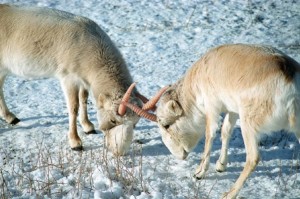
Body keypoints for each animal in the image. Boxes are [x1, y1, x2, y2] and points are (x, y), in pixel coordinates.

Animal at [0, 4, 149, 154]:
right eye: (113, 120)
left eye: (135, 124)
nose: (119, 152)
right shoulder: (68, 78)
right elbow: (74, 108)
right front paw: (75, 143)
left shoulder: (83, 80)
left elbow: (83, 99)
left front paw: (88, 126)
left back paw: (10, 117)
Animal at [125, 44, 300, 199]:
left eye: (165, 125)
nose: (179, 155)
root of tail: (289, 83)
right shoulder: (232, 110)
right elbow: (225, 132)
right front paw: (221, 166)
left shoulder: (212, 107)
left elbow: (210, 135)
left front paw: (199, 173)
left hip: (248, 125)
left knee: (253, 158)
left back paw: (229, 194)